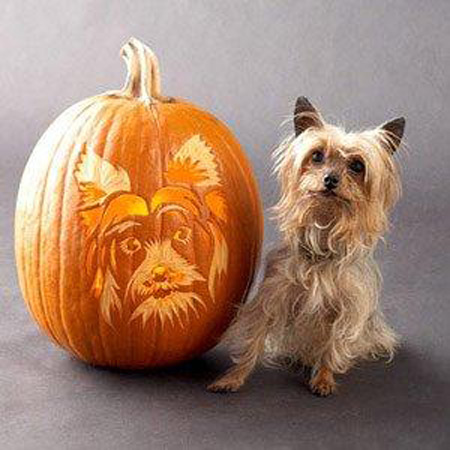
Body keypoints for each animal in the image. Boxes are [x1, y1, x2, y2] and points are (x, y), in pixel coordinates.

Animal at [209, 96, 406, 396]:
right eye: (317, 156)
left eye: (357, 166)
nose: (330, 179)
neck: (322, 239)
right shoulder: (271, 300)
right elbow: (252, 341)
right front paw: (232, 378)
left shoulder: (345, 312)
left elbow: (332, 347)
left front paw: (323, 379)